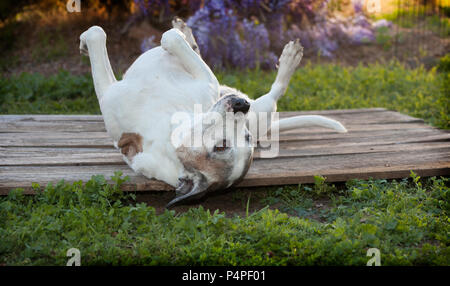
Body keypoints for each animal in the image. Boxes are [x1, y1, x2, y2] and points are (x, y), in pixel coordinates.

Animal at [79, 17, 346, 207]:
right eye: (246, 137)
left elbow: (99, 33)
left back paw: (290, 59)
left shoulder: (110, 92)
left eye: (221, 147)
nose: (242, 106)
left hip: (263, 107)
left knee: (276, 91)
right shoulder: (206, 88)